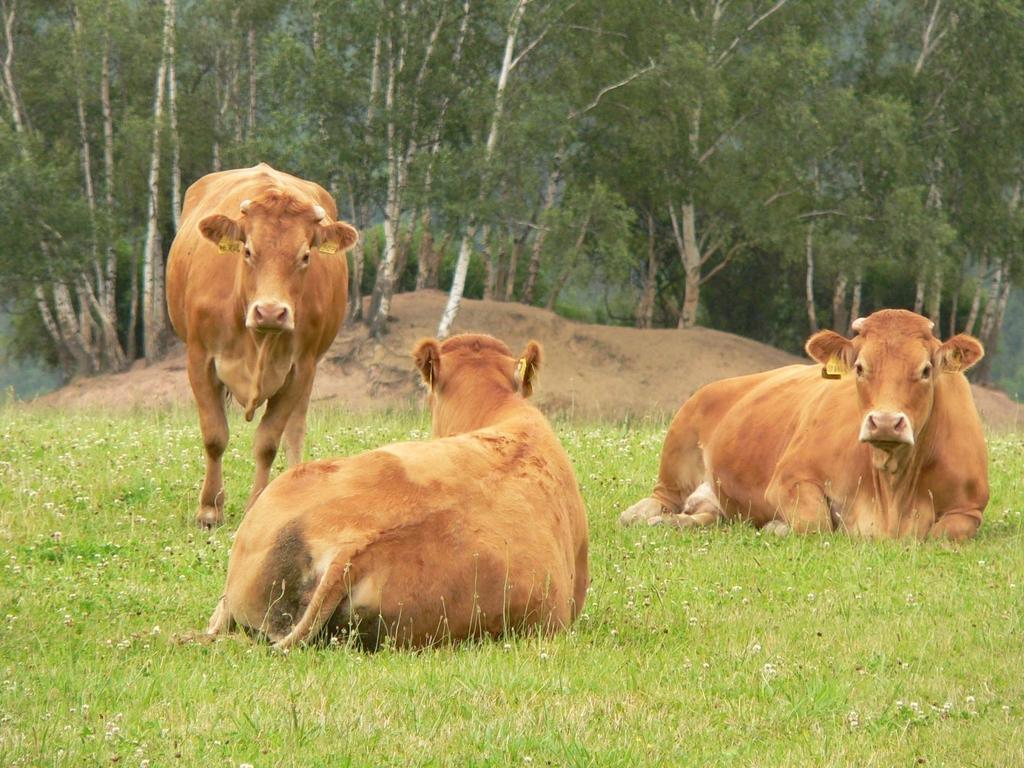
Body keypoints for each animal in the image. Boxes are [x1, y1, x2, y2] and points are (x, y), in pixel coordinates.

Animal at [168, 163, 360, 528]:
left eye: (305, 256)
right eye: (247, 251)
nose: (270, 311)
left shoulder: (300, 368)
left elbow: (268, 442)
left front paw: (256, 505)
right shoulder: (199, 358)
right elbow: (214, 436)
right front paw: (209, 509)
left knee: (295, 429)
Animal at [618, 311, 987, 540]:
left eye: (925, 370)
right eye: (860, 368)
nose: (884, 422)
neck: (893, 490)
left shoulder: (970, 509)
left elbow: (942, 533)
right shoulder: (788, 479)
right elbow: (816, 522)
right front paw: (776, 527)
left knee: (710, 513)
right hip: (675, 464)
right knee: (654, 501)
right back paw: (646, 516)